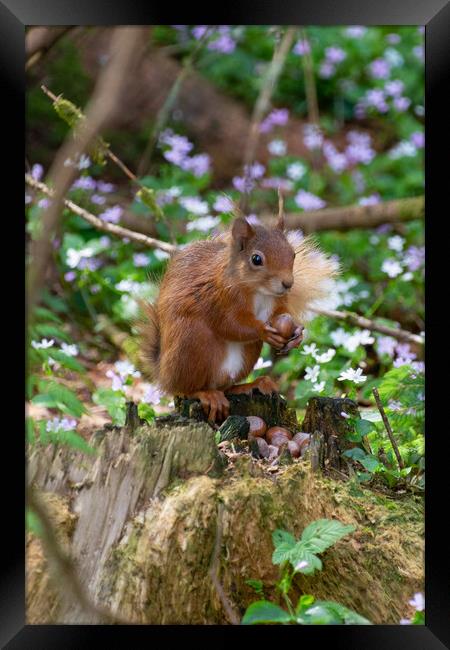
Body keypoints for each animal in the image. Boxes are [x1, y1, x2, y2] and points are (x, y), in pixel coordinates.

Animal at [139, 195, 336, 422]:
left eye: (293, 254)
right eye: (256, 259)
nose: (288, 284)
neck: (258, 291)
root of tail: (164, 375)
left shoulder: (278, 302)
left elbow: (280, 315)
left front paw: (297, 333)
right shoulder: (219, 299)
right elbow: (229, 324)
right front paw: (263, 331)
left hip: (246, 355)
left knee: (227, 387)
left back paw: (252, 385)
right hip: (191, 342)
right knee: (187, 389)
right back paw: (206, 394)